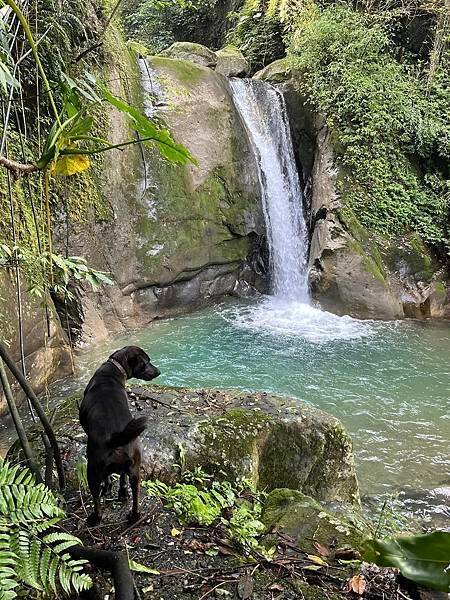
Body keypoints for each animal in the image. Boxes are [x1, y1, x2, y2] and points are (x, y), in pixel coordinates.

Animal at [79, 346, 160, 524]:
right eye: (146, 362)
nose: (159, 372)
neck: (113, 369)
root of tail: (114, 439)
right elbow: (122, 477)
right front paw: (122, 493)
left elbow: (108, 479)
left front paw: (109, 488)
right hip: (136, 470)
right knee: (136, 496)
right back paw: (134, 516)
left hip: (92, 470)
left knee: (96, 500)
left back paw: (95, 518)